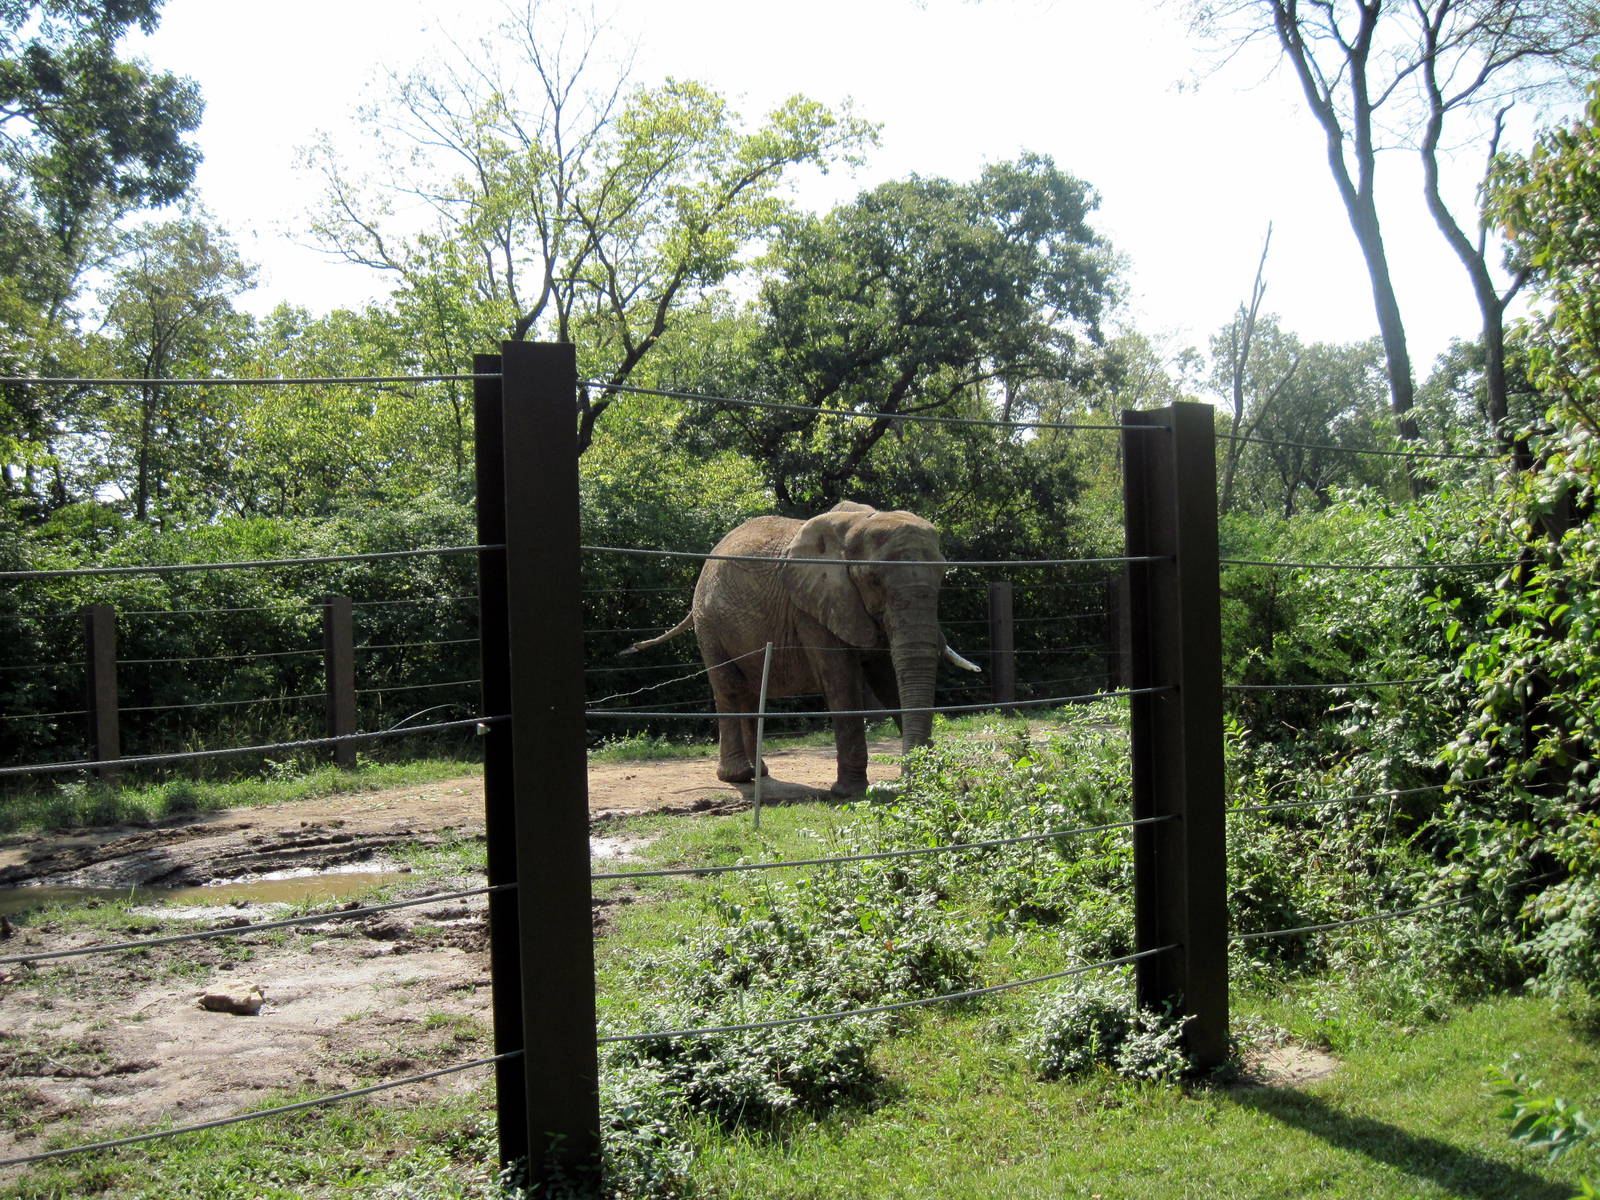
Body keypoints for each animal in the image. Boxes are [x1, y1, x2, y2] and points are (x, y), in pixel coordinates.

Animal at [624, 501, 980, 797]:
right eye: (873, 580)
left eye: (942, 577)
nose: (905, 782)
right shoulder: (811, 607)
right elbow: (841, 681)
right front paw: (849, 793)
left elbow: (889, 680)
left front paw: (928, 780)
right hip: (709, 623)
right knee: (728, 687)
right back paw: (738, 777)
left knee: (750, 691)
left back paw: (759, 773)